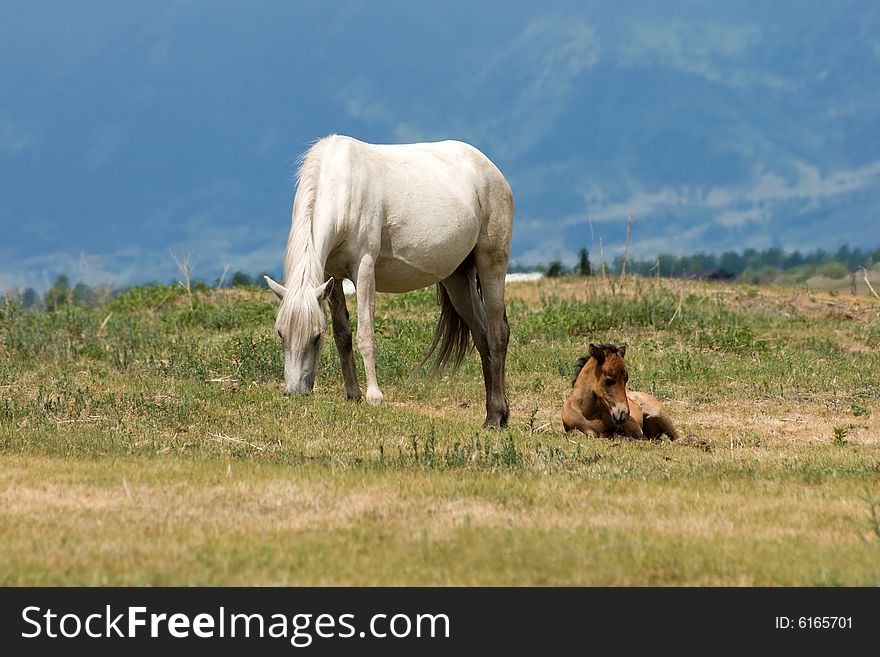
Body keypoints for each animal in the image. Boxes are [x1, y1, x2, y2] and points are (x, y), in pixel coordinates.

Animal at [268, 136, 516, 428]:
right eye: (281, 334)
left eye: (317, 336)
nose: (296, 392)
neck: (342, 185)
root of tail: (491, 170)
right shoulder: (333, 278)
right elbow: (343, 335)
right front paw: (352, 395)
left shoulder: (363, 268)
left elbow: (365, 335)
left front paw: (374, 397)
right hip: (458, 278)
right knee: (481, 335)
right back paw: (494, 414)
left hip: (492, 262)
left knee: (497, 333)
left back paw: (495, 417)